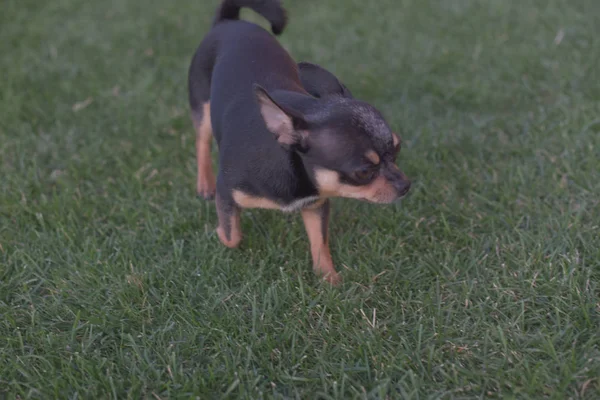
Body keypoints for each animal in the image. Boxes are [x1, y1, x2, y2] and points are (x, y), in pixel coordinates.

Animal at [190, 0, 410, 284]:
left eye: (397, 148)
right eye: (363, 172)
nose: (406, 185)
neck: (290, 165)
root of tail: (229, 22)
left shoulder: (315, 204)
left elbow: (320, 242)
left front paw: (328, 278)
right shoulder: (228, 191)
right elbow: (232, 235)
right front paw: (219, 232)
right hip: (201, 107)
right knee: (202, 142)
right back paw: (204, 184)